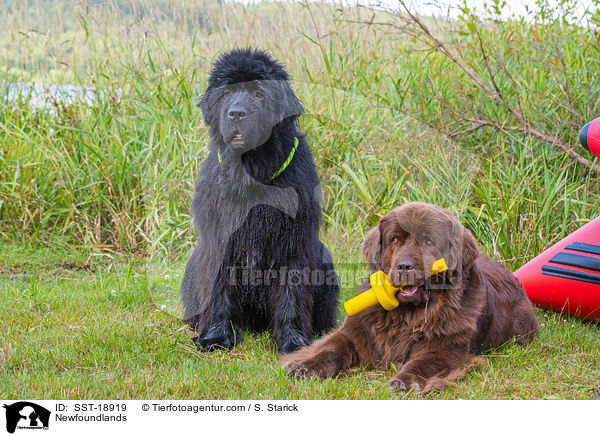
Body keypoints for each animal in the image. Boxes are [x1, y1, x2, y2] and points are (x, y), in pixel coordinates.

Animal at [180, 48, 340, 354]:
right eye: (227, 93)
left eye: (258, 93)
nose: (236, 113)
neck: (253, 174)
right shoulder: (220, 240)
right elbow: (218, 291)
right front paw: (216, 337)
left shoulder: (293, 244)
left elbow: (292, 293)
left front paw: (293, 340)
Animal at [282, 203, 540, 394]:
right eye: (394, 239)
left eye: (428, 241)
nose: (404, 266)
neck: (405, 316)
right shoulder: (356, 332)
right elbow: (330, 348)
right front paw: (305, 367)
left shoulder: (443, 348)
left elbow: (422, 364)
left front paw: (405, 380)